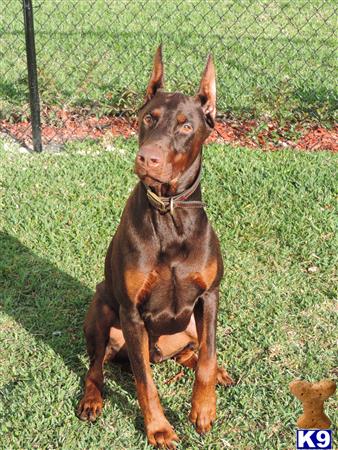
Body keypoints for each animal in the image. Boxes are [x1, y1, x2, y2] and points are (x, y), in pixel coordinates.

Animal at [78, 47, 234, 448]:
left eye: (186, 125)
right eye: (149, 117)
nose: (147, 158)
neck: (170, 215)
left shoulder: (210, 296)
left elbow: (208, 357)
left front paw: (203, 410)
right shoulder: (132, 313)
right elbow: (144, 381)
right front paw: (159, 428)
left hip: (190, 325)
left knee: (191, 353)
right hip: (102, 309)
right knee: (97, 367)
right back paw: (91, 399)